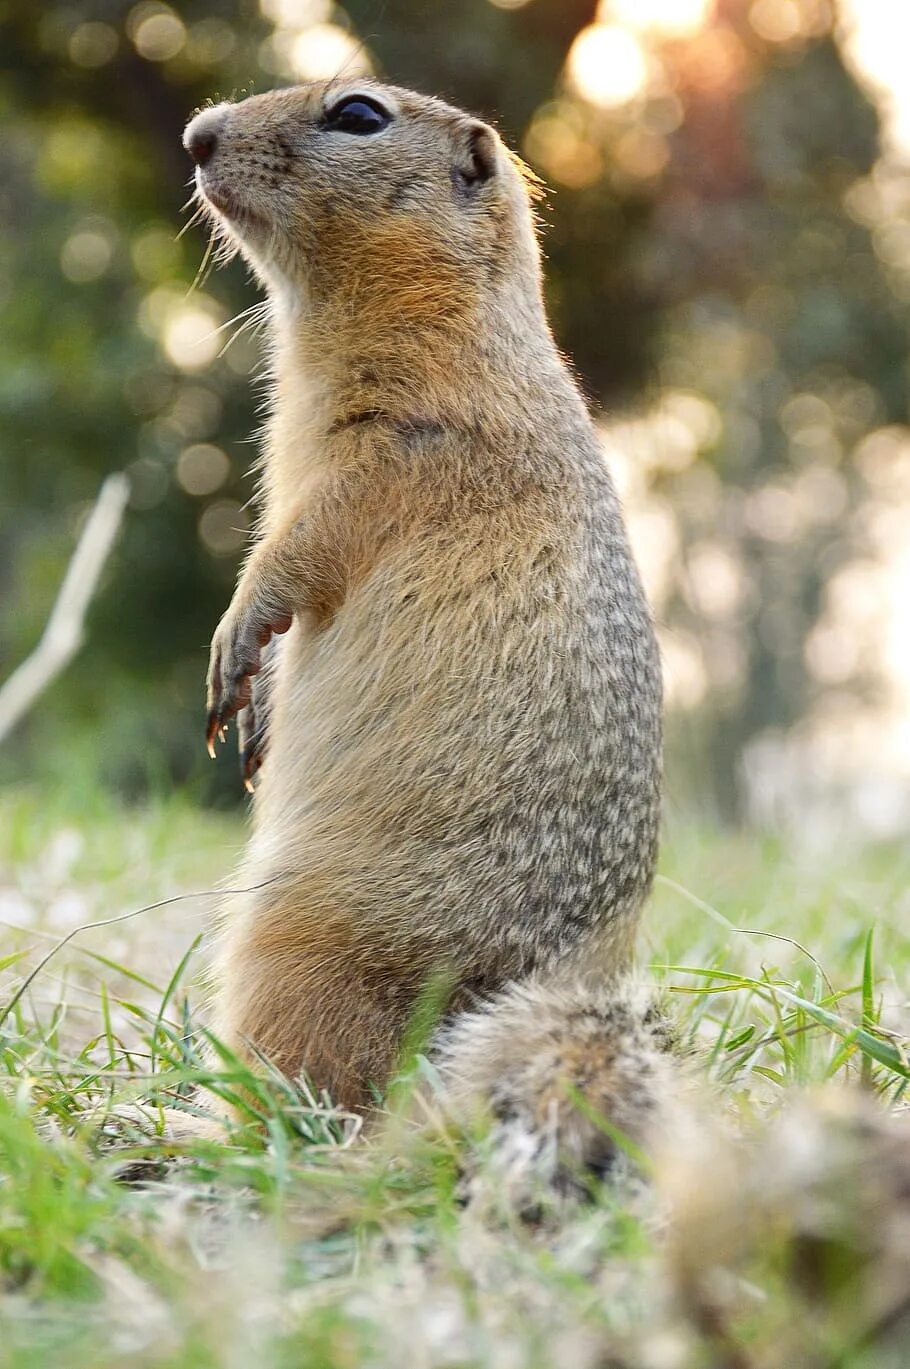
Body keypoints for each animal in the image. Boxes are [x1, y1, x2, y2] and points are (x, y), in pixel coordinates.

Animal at [183, 80, 667, 1188]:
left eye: (359, 115)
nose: (195, 134)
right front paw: (257, 708)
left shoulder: (407, 444)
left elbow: (303, 548)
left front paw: (235, 636)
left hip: (291, 940)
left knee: (320, 1112)